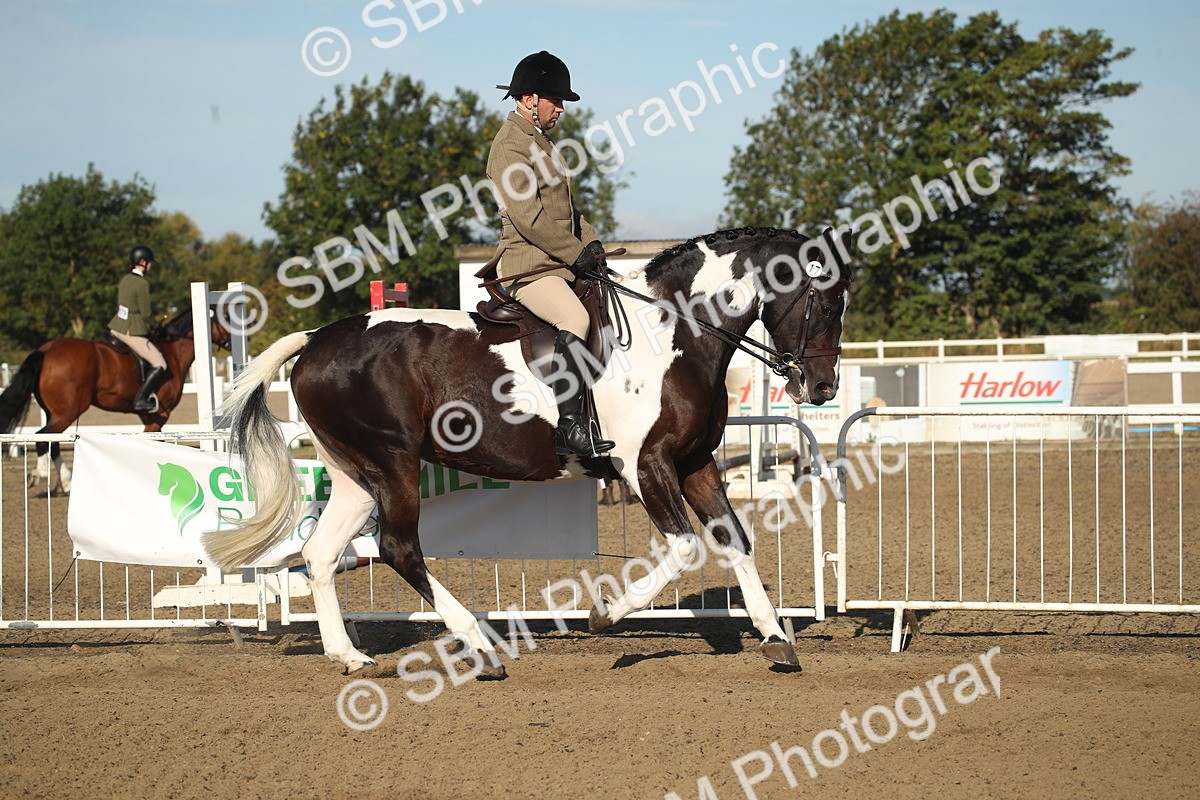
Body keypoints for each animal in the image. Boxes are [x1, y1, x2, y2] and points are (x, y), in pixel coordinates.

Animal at [0, 308, 233, 493]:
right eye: (227, 319)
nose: (233, 342)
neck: (173, 351)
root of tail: (46, 350)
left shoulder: (149, 417)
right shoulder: (159, 415)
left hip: (55, 413)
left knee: (52, 441)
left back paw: (66, 483)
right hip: (67, 412)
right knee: (43, 438)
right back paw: (40, 474)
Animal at [203, 225, 852, 677]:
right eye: (823, 302)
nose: (822, 388)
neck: (673, 332)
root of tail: (315, 340)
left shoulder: (695, 462)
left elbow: (735, 540)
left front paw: (777, 640)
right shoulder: (646, 465)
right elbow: (687, 547)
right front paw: (604, 614)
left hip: (355, 474)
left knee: (319, 554)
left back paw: (350, 657)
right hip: (393, 464)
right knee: (398, 548)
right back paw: (480, 646)